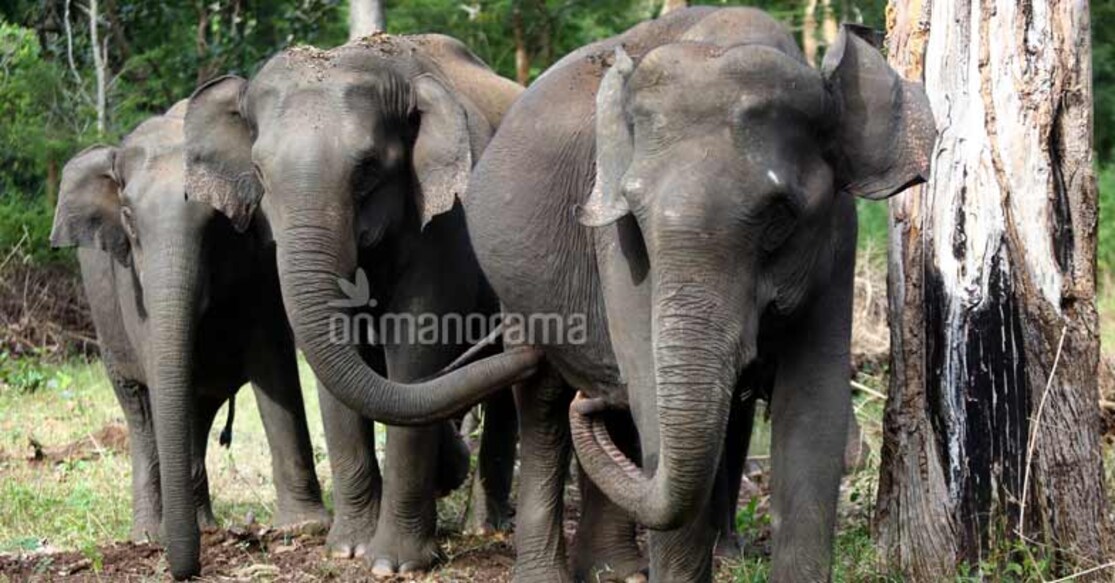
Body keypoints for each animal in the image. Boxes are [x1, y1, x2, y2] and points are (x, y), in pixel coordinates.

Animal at [51, 100, 330, 579]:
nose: (188, 569)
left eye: (217, 220)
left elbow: (273, 360)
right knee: (140, 410)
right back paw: (149, 534)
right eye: (128, 218)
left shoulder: (262, 258)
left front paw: (306, 527)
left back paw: (201, 525)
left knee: (195, 409)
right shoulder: (130, 280)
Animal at [183, 34, 539, 575]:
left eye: (367, 168)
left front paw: (393, 564)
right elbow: (336, 366)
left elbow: (416, 348)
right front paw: (347, 548)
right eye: (260, 170)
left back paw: (484, 528)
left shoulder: (445, 219)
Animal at [461, 6, 932, 579]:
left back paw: (615, 565)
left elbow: (815, 400)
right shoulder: (617, 241)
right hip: (517, 295)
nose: (587, 405)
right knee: (543, 404)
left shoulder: (837, 240)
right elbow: (648, 387)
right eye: (637, 212)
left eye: (779, 217)